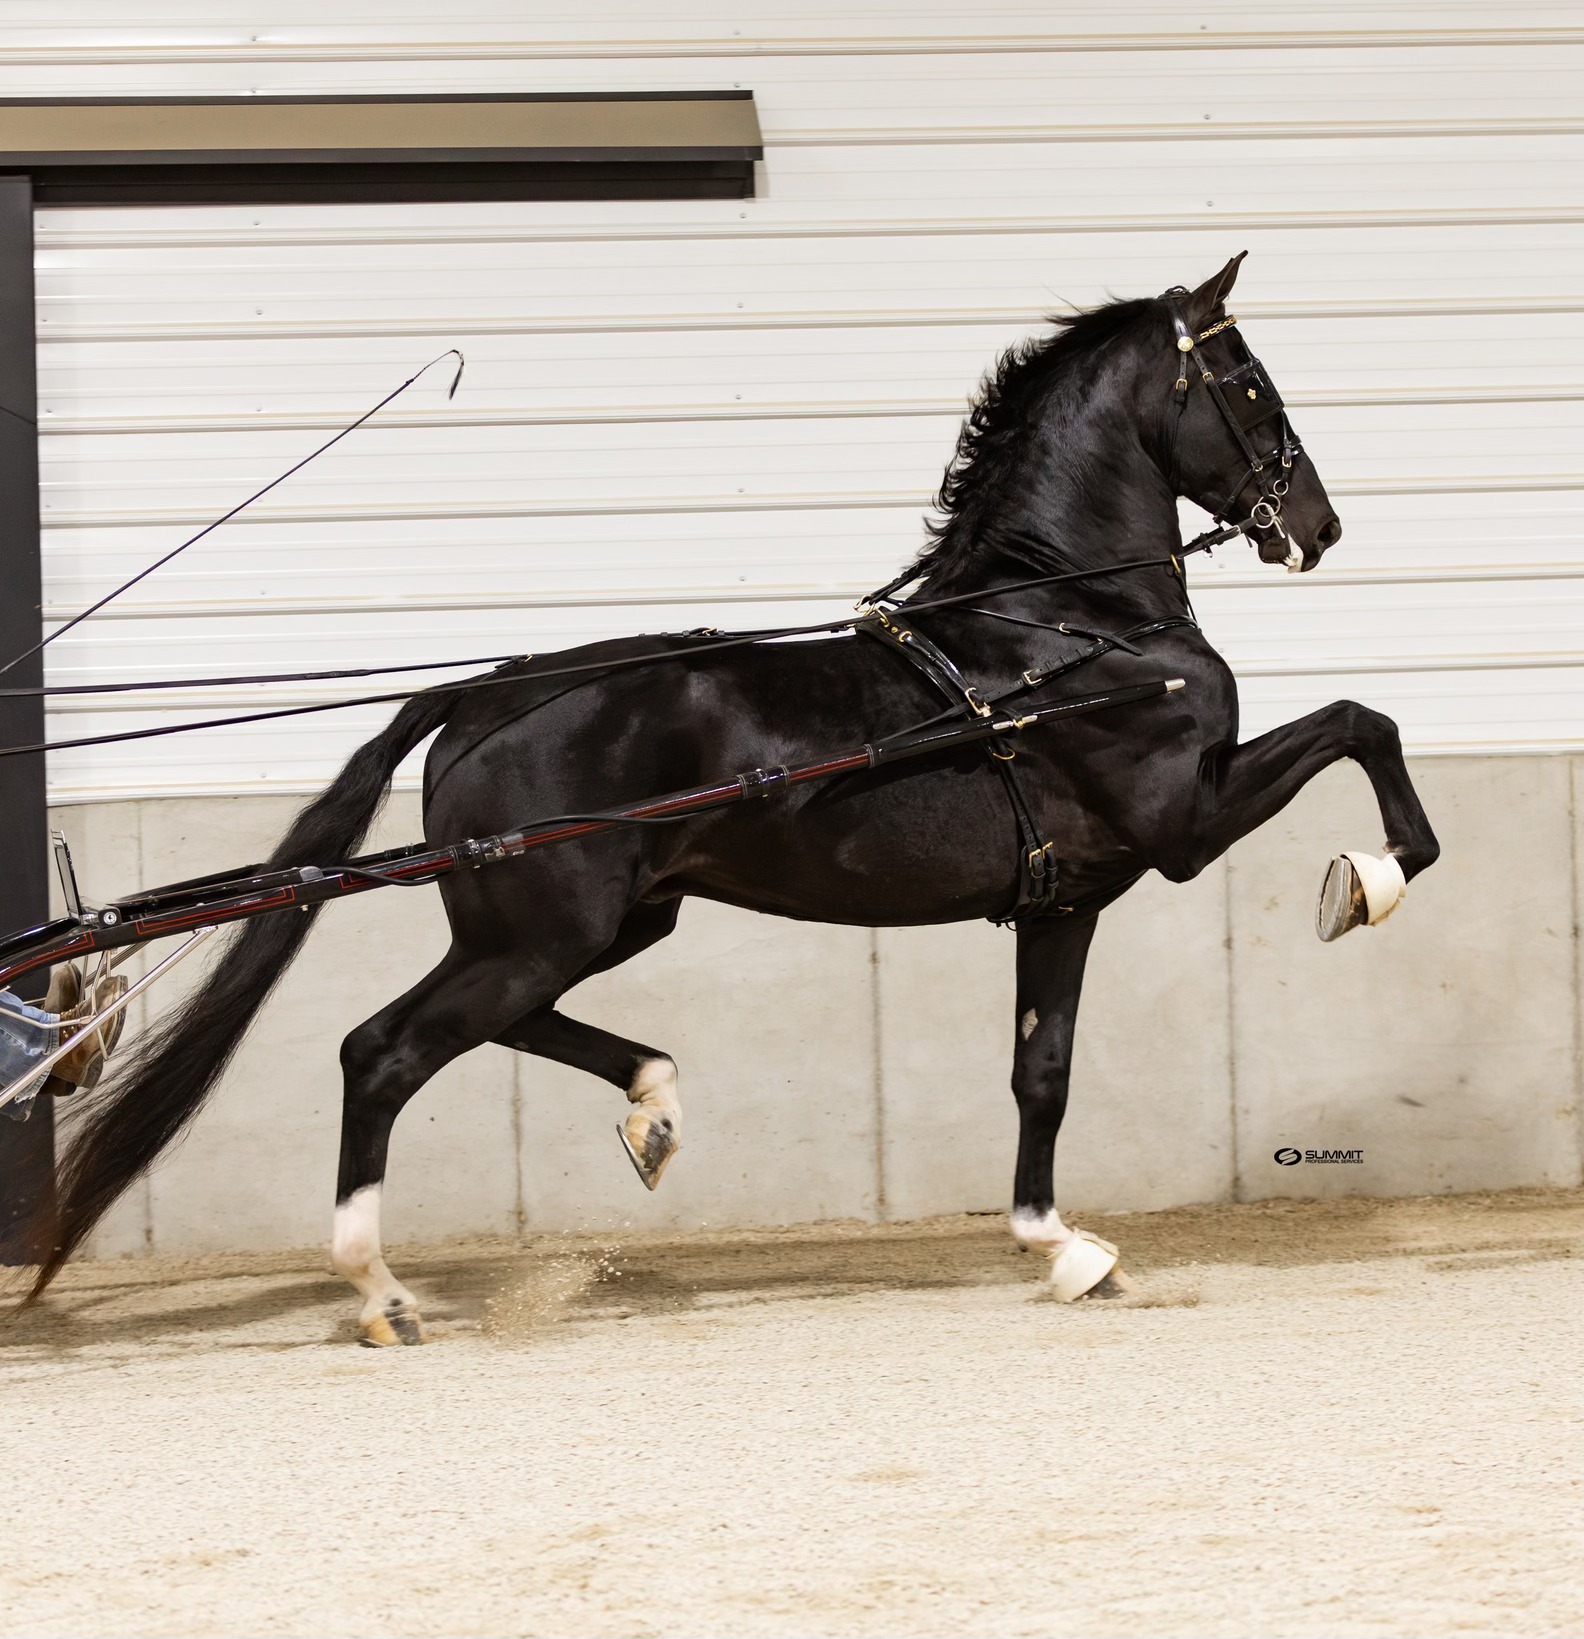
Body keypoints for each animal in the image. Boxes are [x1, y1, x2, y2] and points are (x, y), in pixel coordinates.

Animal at [27, 253, 1439, 1341]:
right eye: (1250, 383)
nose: (1317, 527)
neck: (1060, 629)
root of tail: (485, 695)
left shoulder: (1067, 897)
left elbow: (1042, 1070)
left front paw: (1064, 1247)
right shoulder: (1184, 821)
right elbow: (1363, 724)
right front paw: (1362, 883)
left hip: (592, 922)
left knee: (498, 1025)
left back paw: (651, 1109)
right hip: (541, 927)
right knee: (381, 1051)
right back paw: (380, 1290)